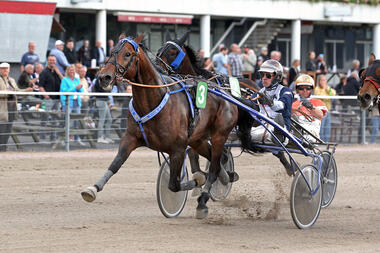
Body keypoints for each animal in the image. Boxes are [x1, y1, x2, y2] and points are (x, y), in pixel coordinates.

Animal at [80, 33, 248, 218]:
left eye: (127, 54)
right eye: (111, 52)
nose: (104, 77)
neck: (155, 100)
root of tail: (225, 93)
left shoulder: (178, 149)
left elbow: (174, 185)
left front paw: (196, 181)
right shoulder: (130, 138)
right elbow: (115, 164)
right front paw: (93, 188)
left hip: (219, 134)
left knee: (214, 165)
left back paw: (203, 202)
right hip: (197, 139)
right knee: (217, 159)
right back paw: (226, 177)